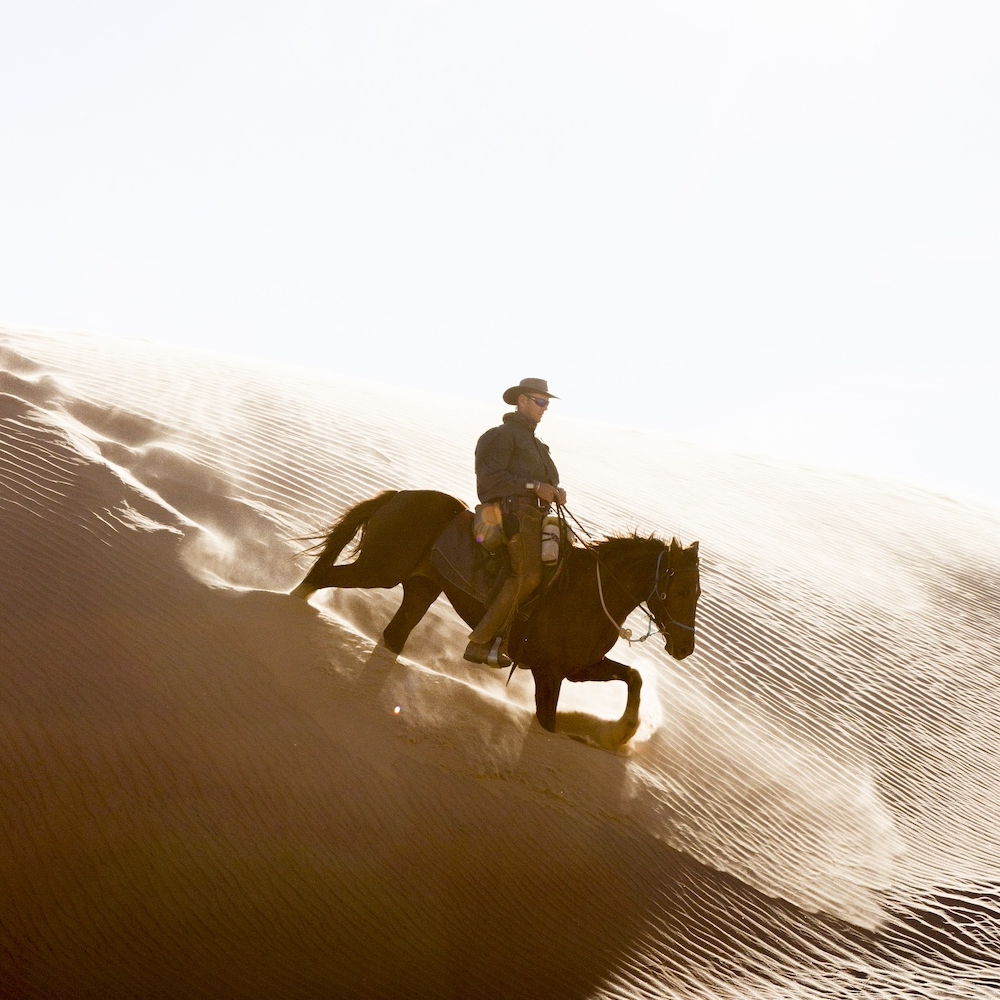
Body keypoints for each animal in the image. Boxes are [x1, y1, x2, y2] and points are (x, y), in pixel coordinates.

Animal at [292, 488, 704, 748]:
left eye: (697, 593)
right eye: (682, 591)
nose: (684, 648)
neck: (589, 593)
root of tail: (398, 496)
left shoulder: (581, 667)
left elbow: (633, 677)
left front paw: (620, 734)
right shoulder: (549, 673)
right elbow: (548, 722)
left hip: (420, 588)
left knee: (393, 633)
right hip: (379, 570)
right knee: (322, 576)